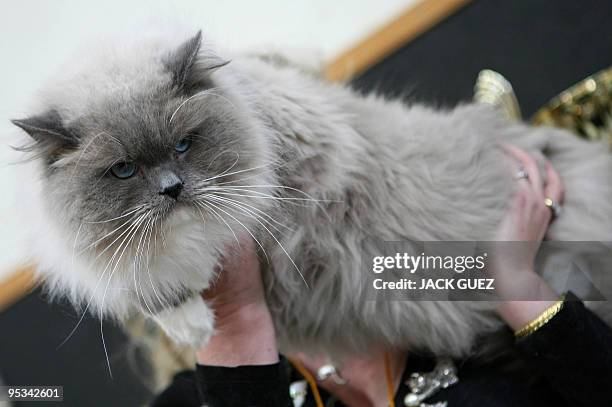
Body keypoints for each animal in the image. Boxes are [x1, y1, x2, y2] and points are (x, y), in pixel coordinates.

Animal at [10, 30, 612, 364]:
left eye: (184, 145)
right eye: (124, 170)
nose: (172, 188)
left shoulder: (282, 172)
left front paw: (196, 317)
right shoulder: (109, 261)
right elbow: (148, 287)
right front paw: (193, 322)